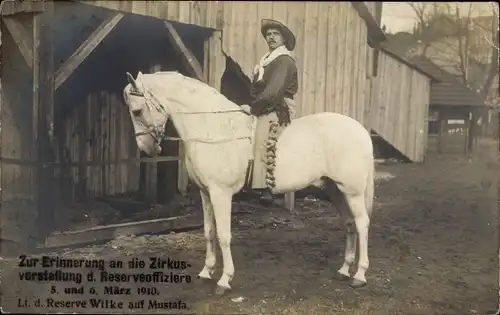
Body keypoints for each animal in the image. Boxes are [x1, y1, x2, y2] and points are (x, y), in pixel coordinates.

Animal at [123, 70, 374, 296]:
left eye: (137, 111)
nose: (146, 148)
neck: (212, 127)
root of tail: (361, 130)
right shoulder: (205, 193)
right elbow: (208, 231)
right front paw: (206, 271)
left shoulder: (221, 194)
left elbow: (224, 235)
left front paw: (224, 280)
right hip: (335, 190)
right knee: (349, 223)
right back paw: (344, 270)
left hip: (352, 191)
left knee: (362, 224)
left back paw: (360, 275)